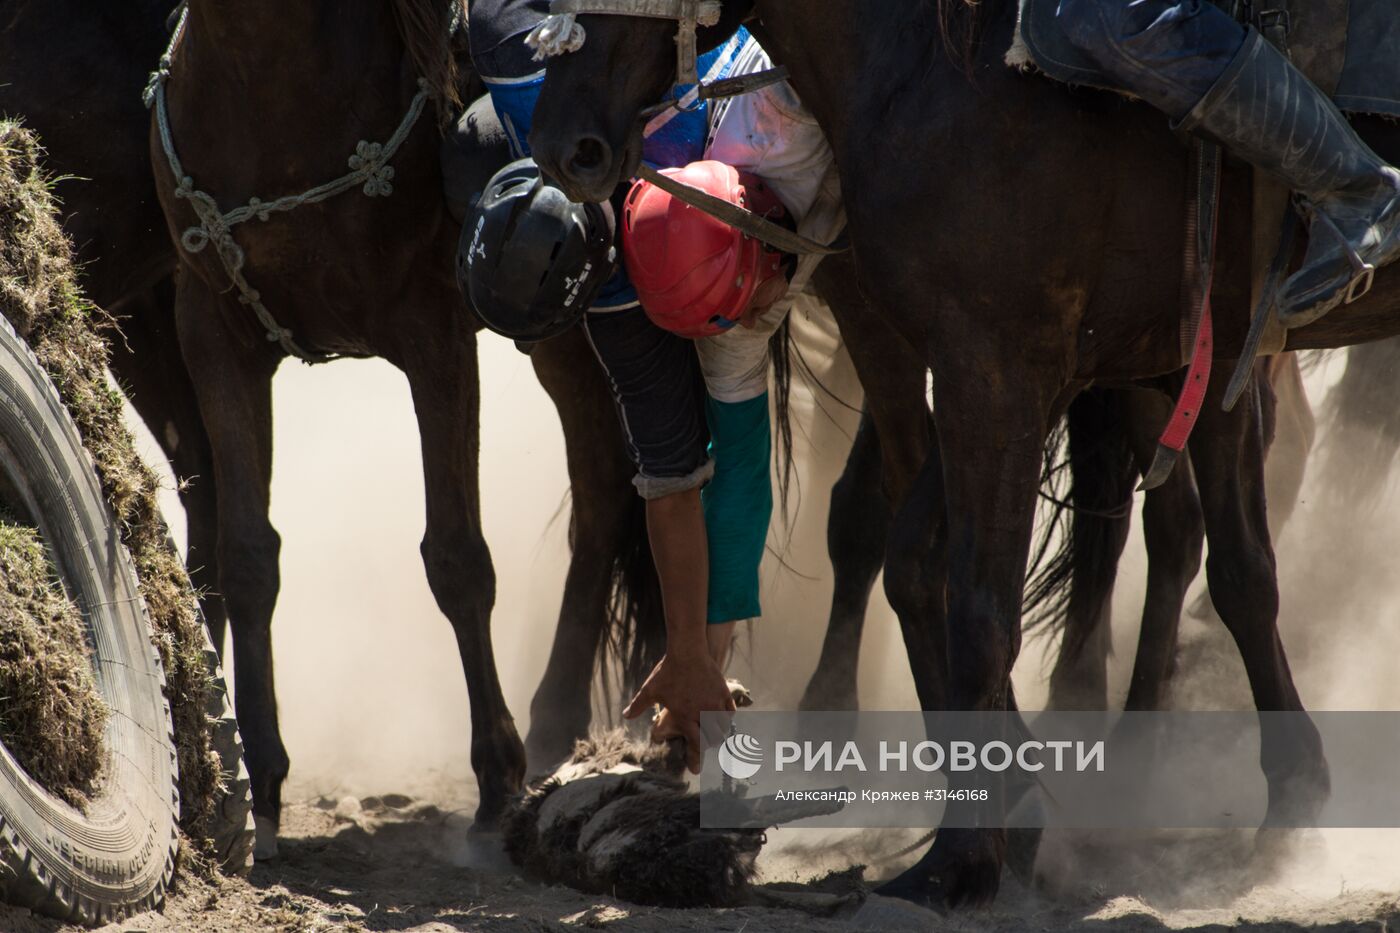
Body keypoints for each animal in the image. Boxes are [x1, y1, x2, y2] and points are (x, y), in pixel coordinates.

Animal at [526, 0, 1400, 902]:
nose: (565, 143)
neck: (933, 71)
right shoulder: (994, 361)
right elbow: (924, 564)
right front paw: (1008, 805)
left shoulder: (1022, 365)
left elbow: (998, 606)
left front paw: (965, 855)